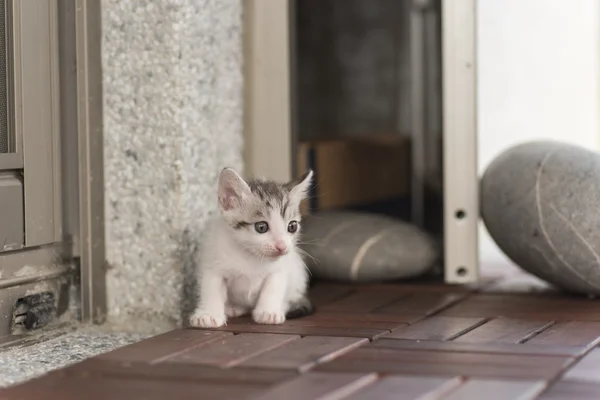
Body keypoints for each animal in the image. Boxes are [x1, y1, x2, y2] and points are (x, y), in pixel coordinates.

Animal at [191, 167, 314, 326]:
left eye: (292, 226)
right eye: (261, 227)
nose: (281, 246)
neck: (251, 255)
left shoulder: (280, 269)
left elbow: (273, 287)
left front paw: (268, 312)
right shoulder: (213, 263)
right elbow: (211, 289)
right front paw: (208, 315)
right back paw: (233, 307)